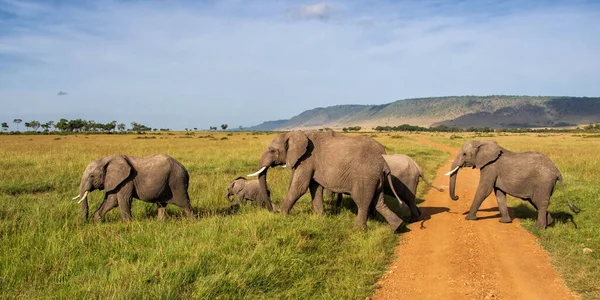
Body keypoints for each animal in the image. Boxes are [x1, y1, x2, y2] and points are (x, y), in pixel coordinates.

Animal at [246, 131, 406, 232]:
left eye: (272, 150)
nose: (273, 210)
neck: (296, 133)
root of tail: (384, 164)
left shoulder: (307, 159)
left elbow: (300, 188)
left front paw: (283, 215)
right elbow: (315, 187)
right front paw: (319, 217)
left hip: (365, 178)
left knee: (362, 202)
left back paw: (358, 230)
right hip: (375, 179)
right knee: (379, 202)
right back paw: (398, 227)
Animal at [446, 139, 580, 229]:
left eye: (464, 154)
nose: (456, 197)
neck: (482, 142)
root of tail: (557, 171)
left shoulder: (491, 167)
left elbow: (485, 190)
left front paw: (469, 218)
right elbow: (499, 193)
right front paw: (504, 222)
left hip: (543, 181)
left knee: (541, 202)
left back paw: (538, 228)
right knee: (537, 202)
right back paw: (550, 223)